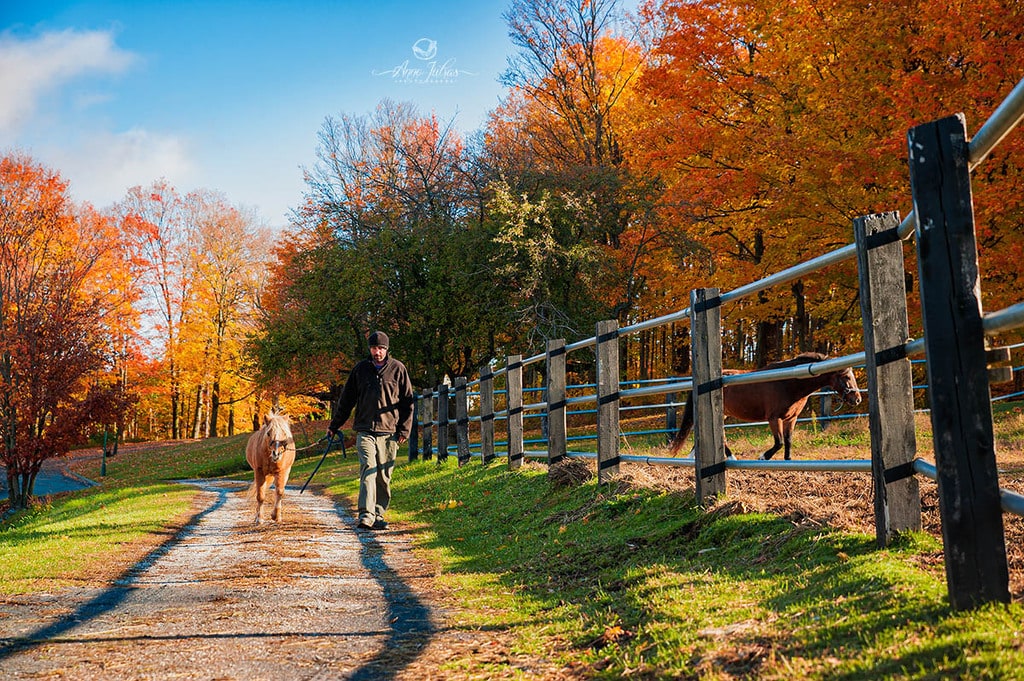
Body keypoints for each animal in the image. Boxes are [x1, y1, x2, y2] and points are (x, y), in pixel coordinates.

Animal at [667, 352, 860, 458]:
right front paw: (763, 457)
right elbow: (779, 442)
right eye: (846, 376)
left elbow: (788, 441)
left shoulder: (791, 418)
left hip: (723, 414)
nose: (856, 399)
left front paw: (788, 460)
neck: (787, 382)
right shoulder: (774, 418)